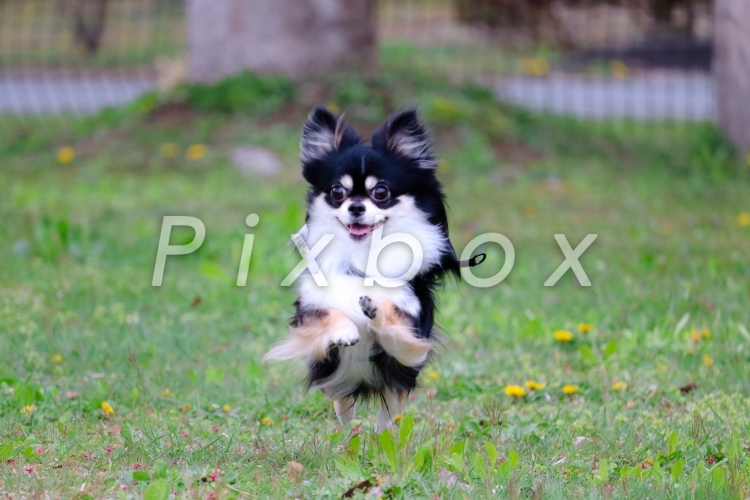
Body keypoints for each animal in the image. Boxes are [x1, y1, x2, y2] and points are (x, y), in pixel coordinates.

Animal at [264, 106, 478, 434]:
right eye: (337, 192)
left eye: (381, 192)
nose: (355, 207)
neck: (361, 253)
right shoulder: (309, 311)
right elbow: (327, 312)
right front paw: (345, 330)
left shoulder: (410, 331)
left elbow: (393, 314)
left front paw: (374, 309)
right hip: (330, 375)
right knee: (338, 397)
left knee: (389, 408)